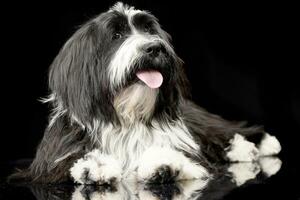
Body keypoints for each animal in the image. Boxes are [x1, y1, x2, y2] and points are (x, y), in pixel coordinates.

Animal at [9, 2, 282, 185]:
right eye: (117, 35)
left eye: (150, 30)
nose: (154, 48)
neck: (127, 116)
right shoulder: (50, 160)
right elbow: (63, 164)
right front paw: (95, 165)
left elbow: (188, 160)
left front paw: (164, 163)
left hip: (204, 123)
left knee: (226, 132)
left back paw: (256, 146)